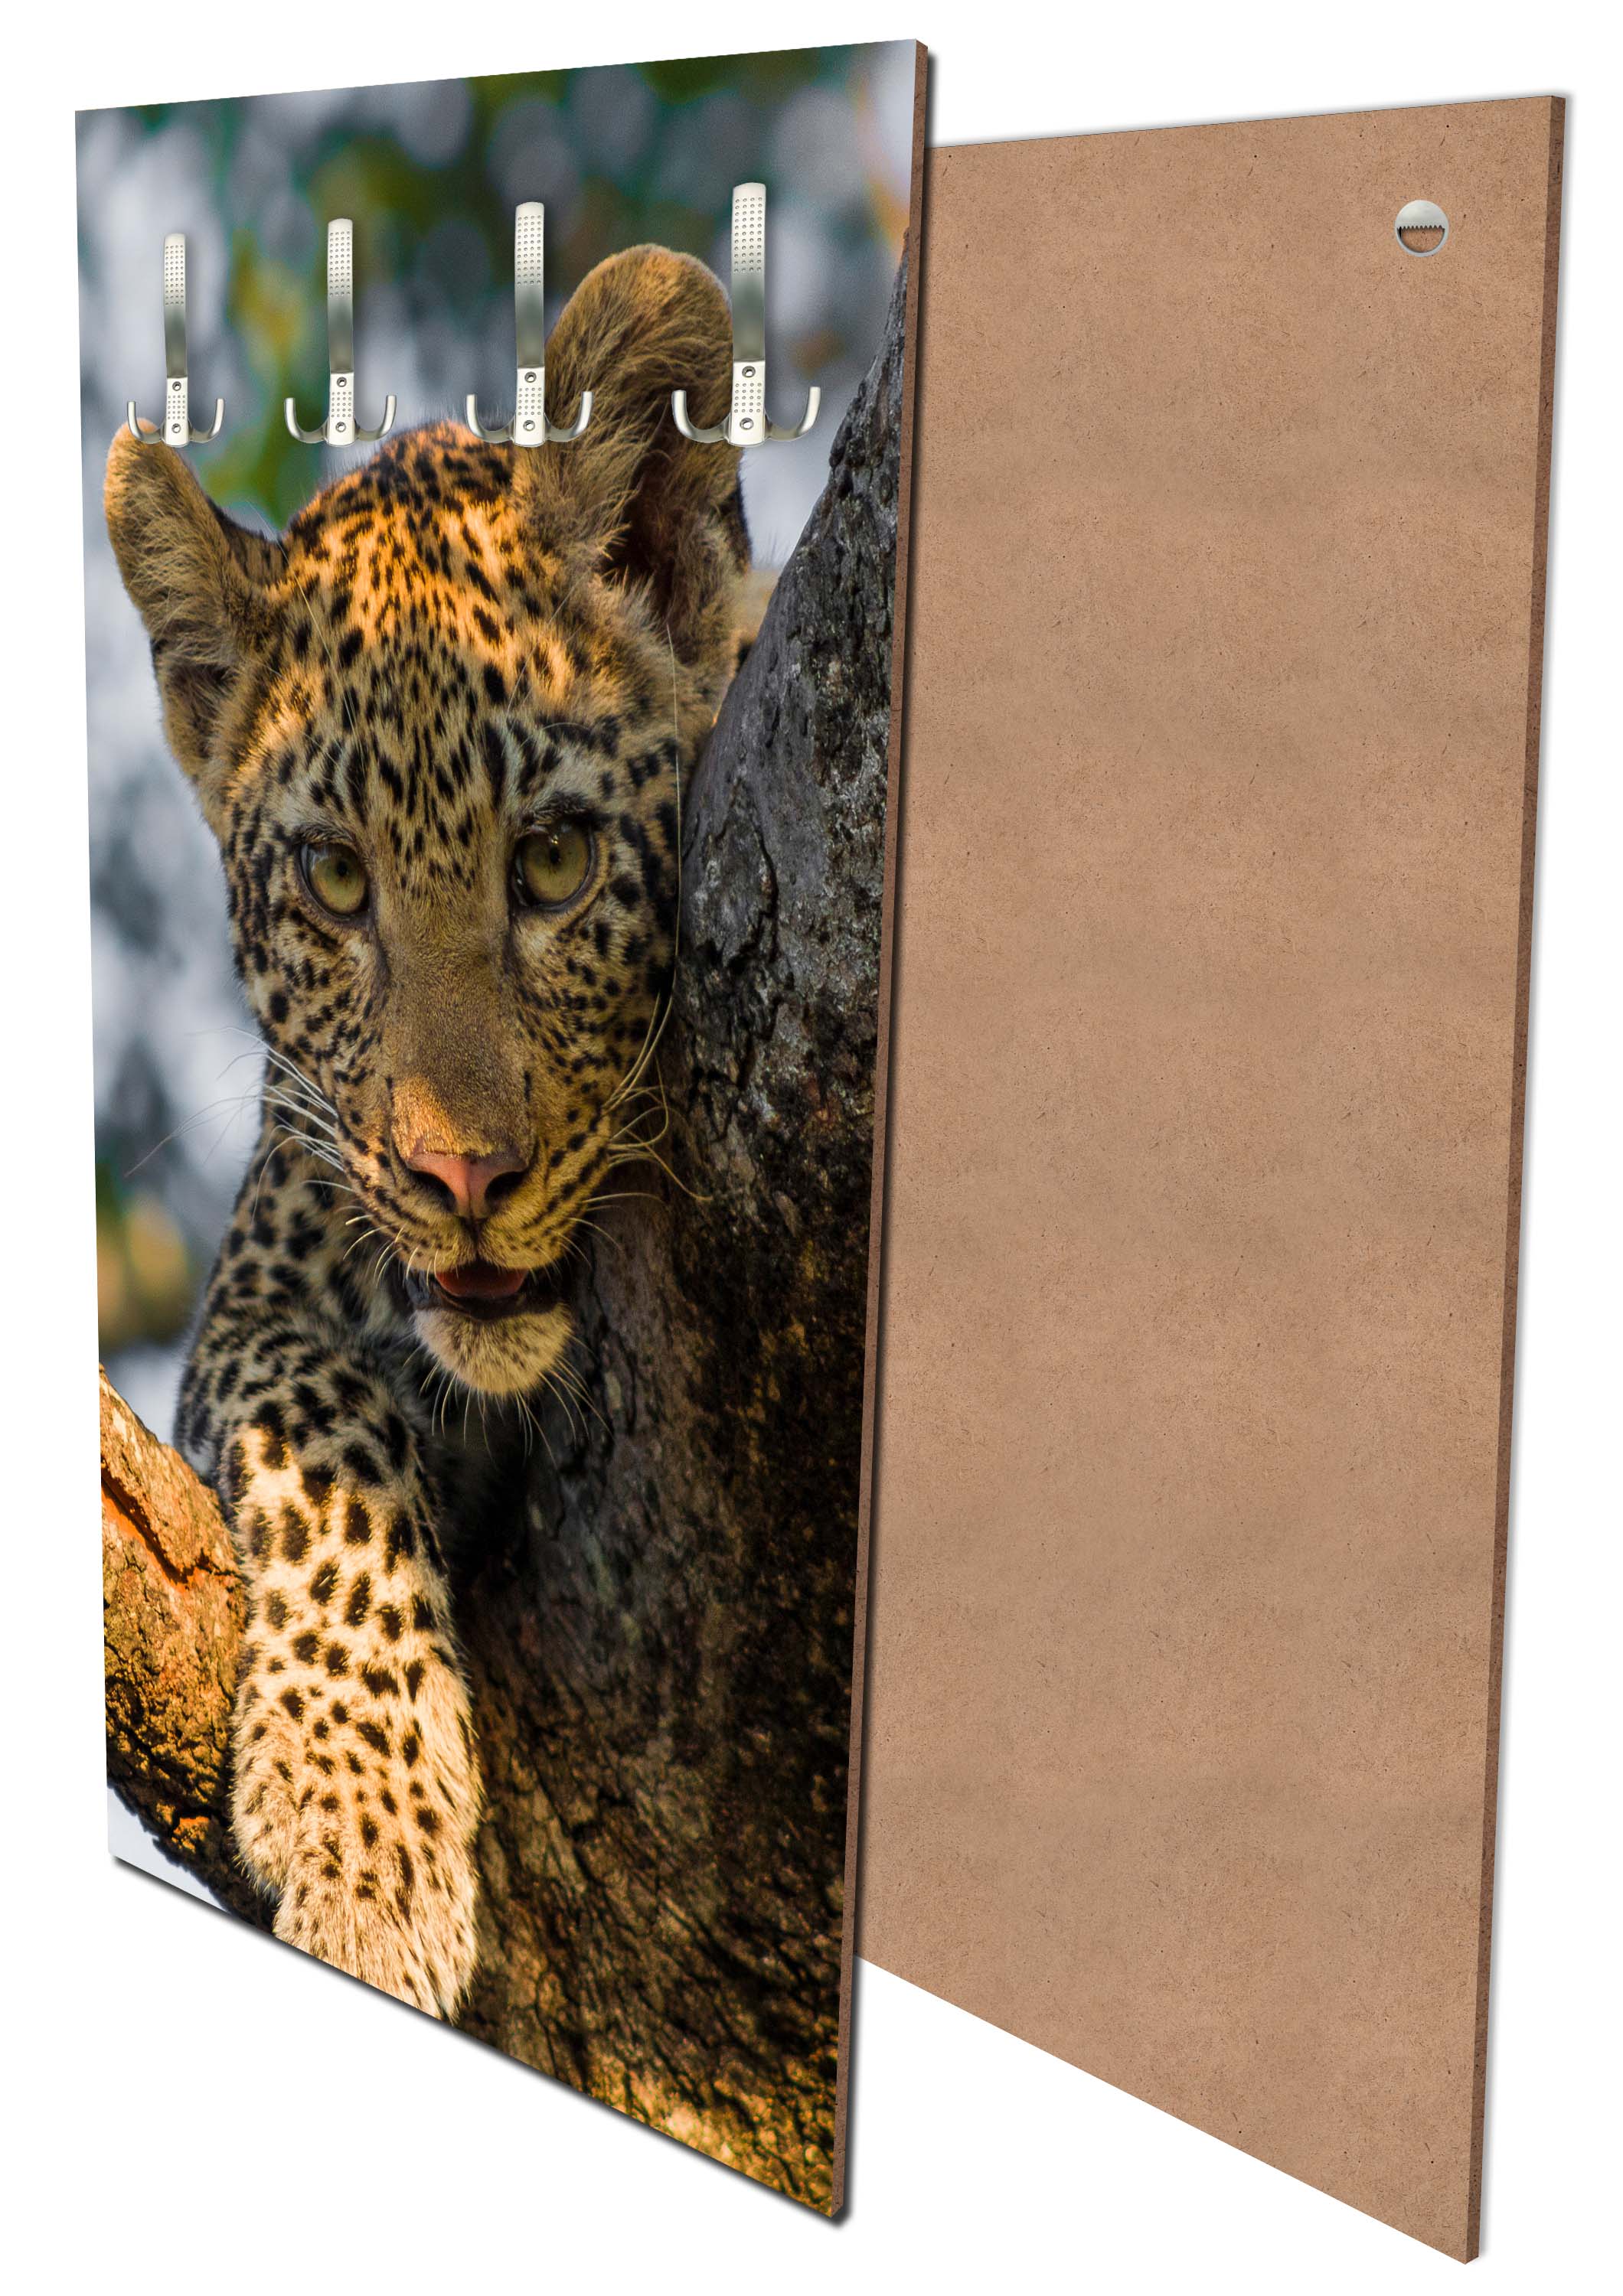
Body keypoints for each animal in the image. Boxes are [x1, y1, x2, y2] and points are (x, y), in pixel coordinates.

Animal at [104, 246, 750, 2018]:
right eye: (335, 883)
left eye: (555, 864)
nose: (461, 1178)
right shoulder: (256, 1300)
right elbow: (325, 1429)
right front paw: (366, 1835)